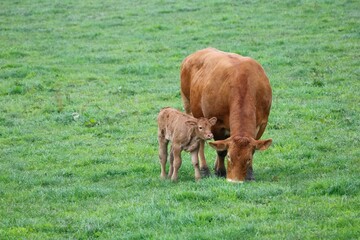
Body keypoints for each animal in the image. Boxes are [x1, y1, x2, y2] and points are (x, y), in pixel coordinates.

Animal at [181, 47, 272, 183]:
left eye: (248, 159)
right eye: (229, 156)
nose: (234, 181)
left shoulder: (262, 123)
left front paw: (250, 174)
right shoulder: (217, 123)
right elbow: (221, 151)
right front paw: (221, 171)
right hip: (190, 107)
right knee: (200, 142)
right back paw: (204, 169)